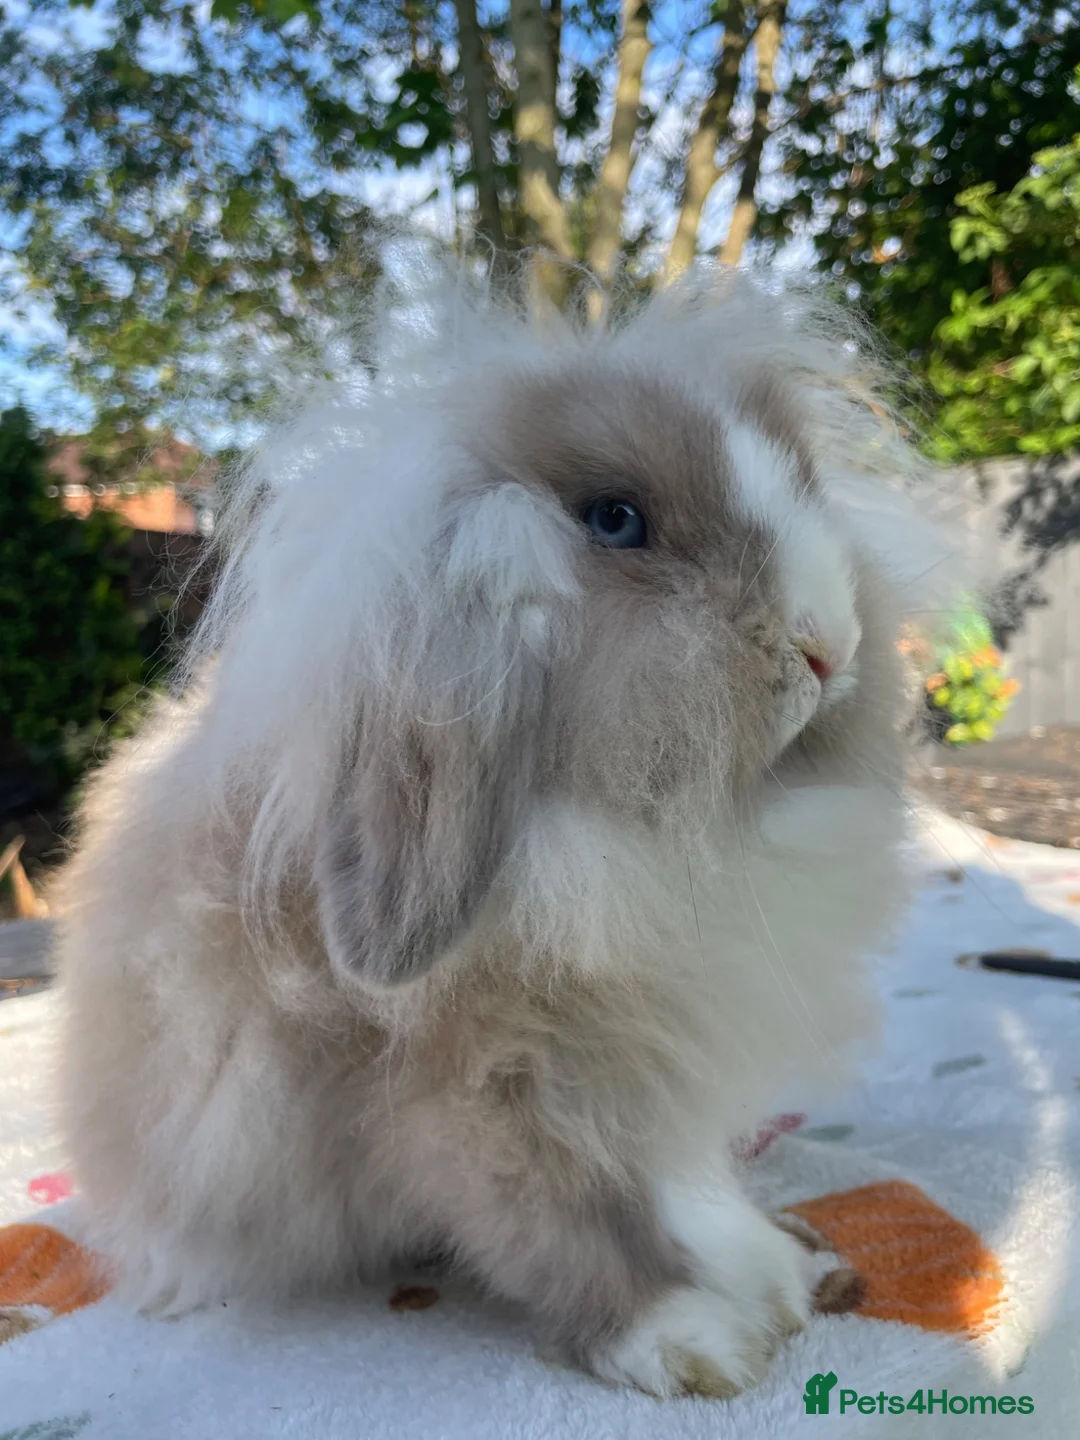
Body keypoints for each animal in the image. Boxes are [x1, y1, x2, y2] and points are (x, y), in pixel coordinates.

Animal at [54, 256, 954, 1399]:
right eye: (616, 520)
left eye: (804, 484)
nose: (827, 643)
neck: (621, 838)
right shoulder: (485, 1099)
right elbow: (566, 1220)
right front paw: (692, 1340)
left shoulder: (658, 1070)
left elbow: (694, 1194)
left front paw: (783, 1268)